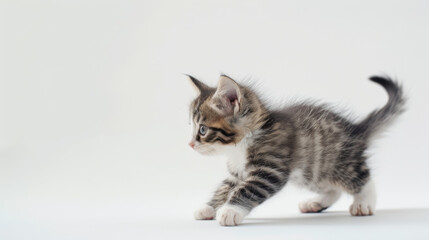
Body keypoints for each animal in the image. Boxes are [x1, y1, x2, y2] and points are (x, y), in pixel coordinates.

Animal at [186, 74, 402, 226]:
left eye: (202, 130)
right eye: (192, 127)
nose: (190, 144)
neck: (242, 145)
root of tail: (355, 130)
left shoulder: (269, 170)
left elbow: (247, 189)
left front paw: (230, 211)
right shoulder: (237, 173)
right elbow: (224, 188)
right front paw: (208, 207)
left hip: (338, 163)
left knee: (362, 178)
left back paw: (364, 203)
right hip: (312, 173)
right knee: (333, 189)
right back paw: (315, 203)